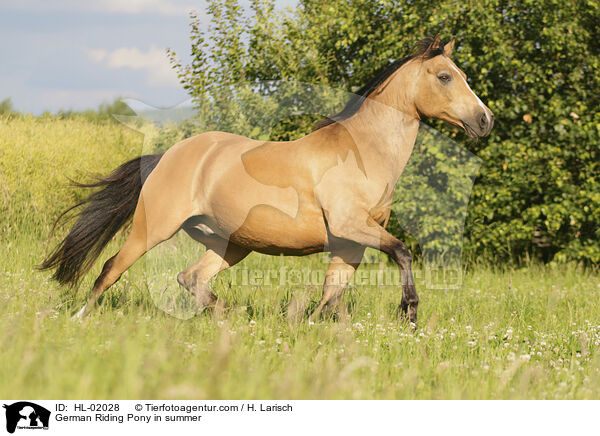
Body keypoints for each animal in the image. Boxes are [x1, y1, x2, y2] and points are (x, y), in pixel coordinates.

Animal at [41, 35, 492, 324]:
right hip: (153, 228)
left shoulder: (350, 242)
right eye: (445, 76)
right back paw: (79, 319)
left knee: (192, 278)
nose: (485, 120)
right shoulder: (352, 227)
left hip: (231, 243)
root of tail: (168, 155)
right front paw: (409, 312)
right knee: (112, 268)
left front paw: (307, 328)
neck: (363, 153)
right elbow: (402, 252)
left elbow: (331, 294)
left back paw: (230, 318)